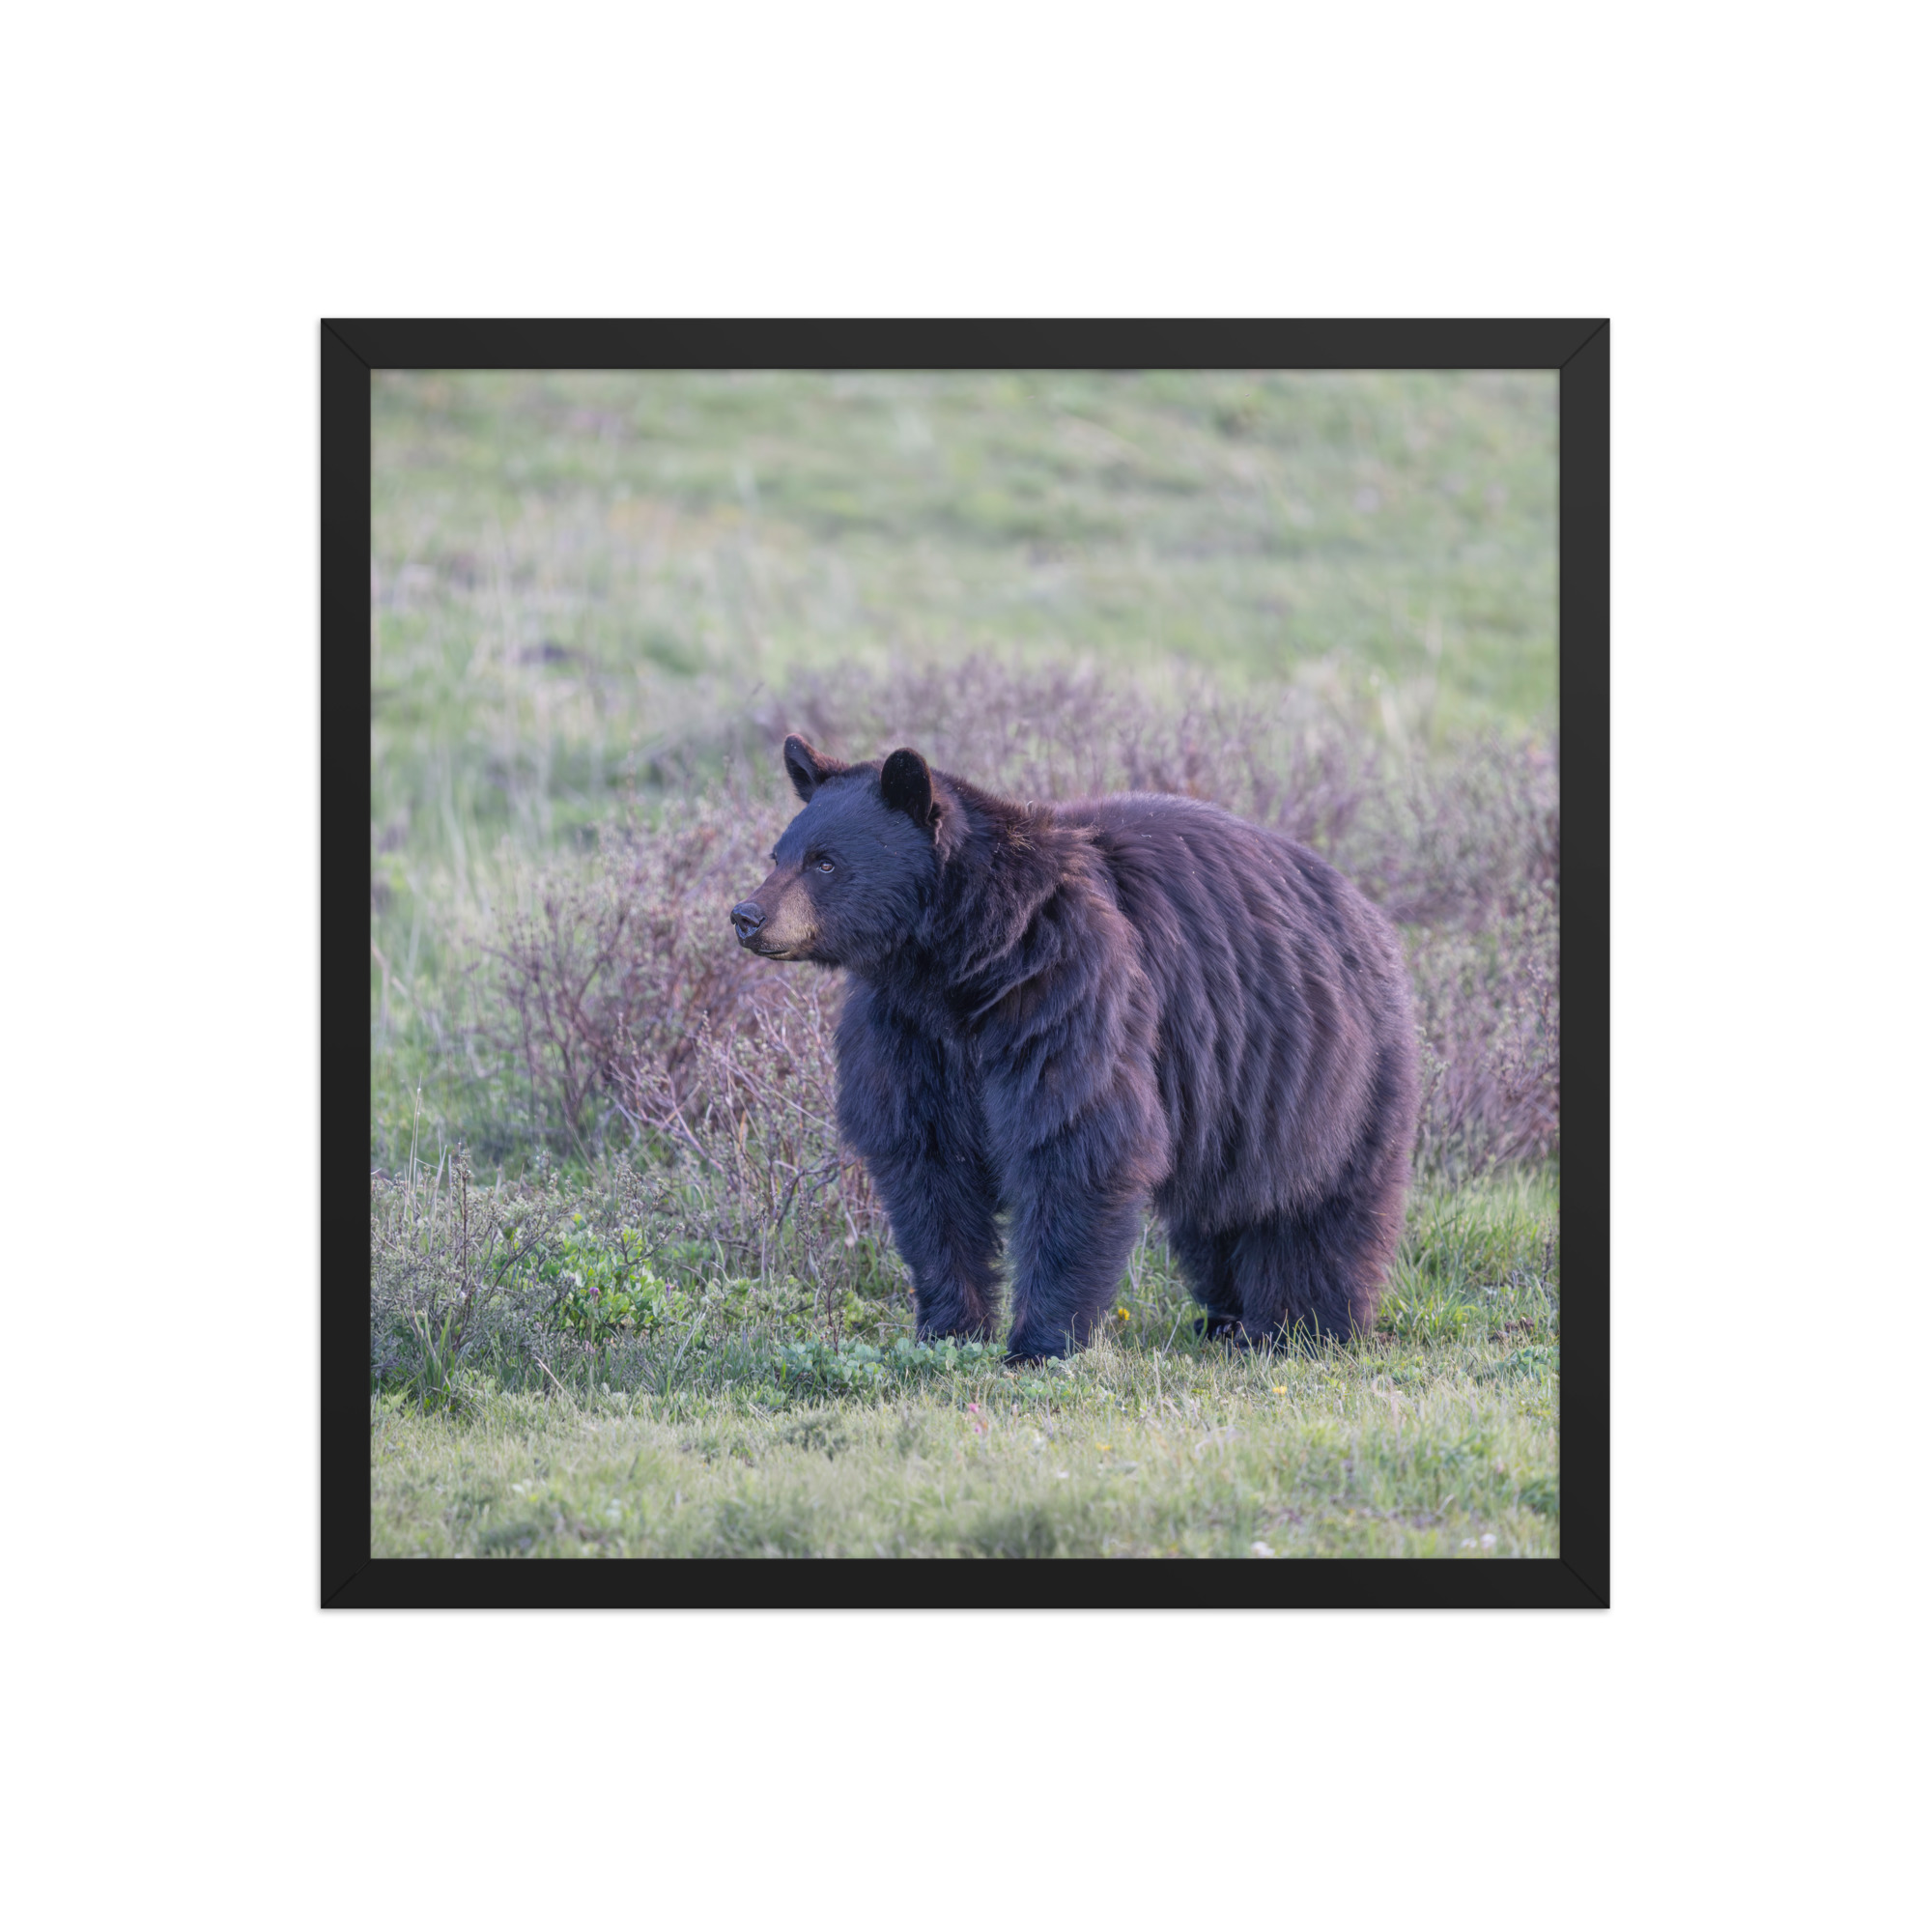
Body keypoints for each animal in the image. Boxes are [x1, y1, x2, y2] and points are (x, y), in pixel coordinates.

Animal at [729, 734, 1419, 1362]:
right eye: (778, 853)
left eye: (825, 862)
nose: (747, 915)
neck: (960, 964)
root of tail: (1366, 910)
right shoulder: (908, 1033)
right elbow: (927, 1165)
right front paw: (948, 1329)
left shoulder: (1068, 990)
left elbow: (1075, 1141)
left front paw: (1039, 1343)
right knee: (1220, 1212)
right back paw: (1226, 1318)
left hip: (1328, 1070)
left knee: (1319, 1205)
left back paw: (1302, 1326)